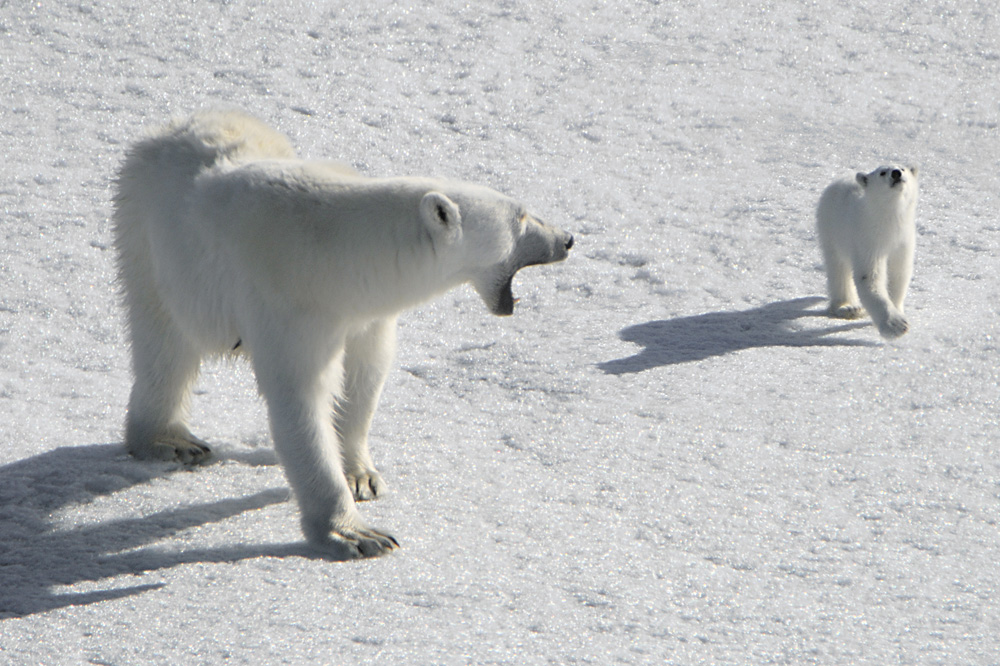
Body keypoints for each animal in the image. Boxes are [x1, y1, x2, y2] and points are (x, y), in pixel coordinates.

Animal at [113, 109, 576, 556]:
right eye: (520, 217)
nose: (568, 239)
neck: (335, 256)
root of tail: (169, 128)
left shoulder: (363, 314)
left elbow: (364, 374)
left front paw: (361, 476)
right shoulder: (288, 303)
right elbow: (300, 398)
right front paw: (357, 534)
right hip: (147, 232)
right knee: (163, 342)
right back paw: (169, 439)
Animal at [816, 161, 916, 338]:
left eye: (902, 168)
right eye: (882, 172)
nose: (896, 173)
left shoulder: (903, 241)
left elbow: (899, 274)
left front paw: (898, 310)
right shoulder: (868, 239)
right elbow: (869, 277)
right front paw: (895, 325)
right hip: (830, 228)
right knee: (837, 268)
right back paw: (847, 307)